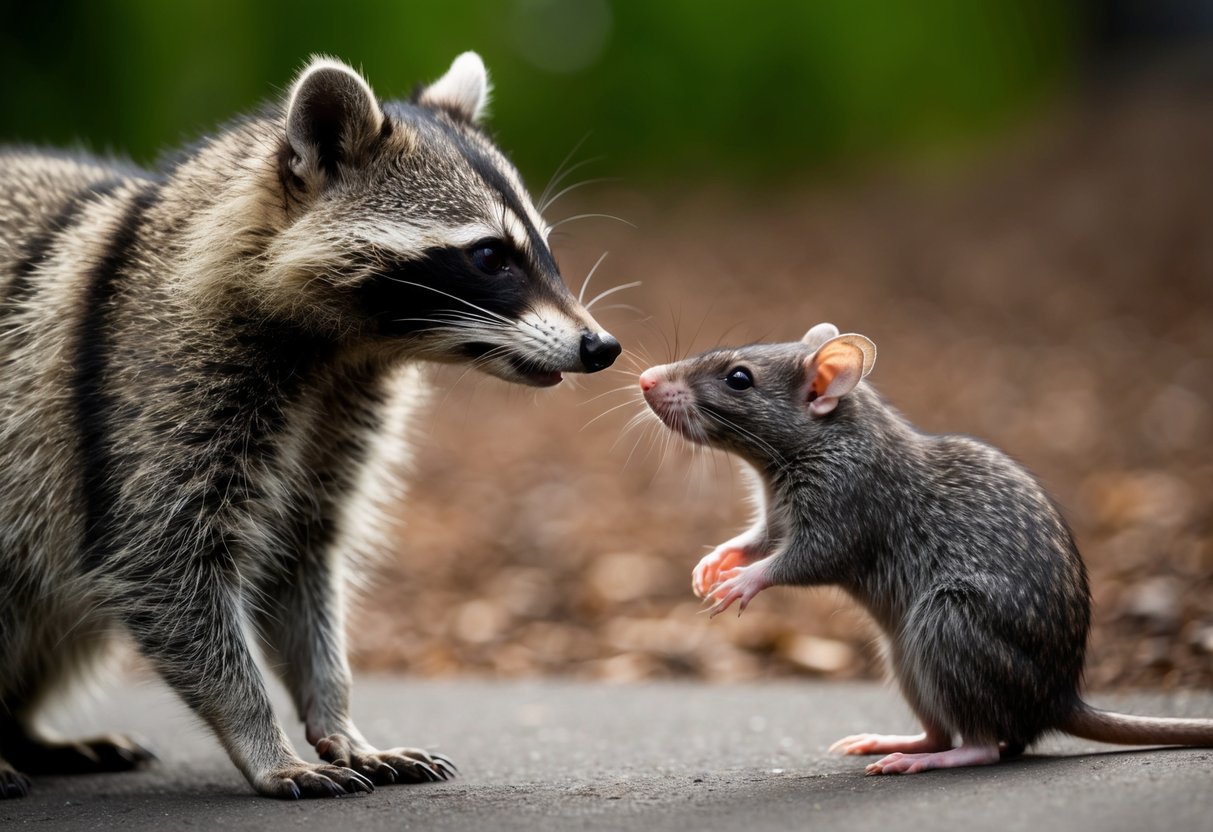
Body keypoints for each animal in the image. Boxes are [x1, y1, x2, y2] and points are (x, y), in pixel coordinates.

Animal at [0, 53, 621, 799]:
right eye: (489, 256)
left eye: (543, 248)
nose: (601, 347)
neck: (341, 351)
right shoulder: (147, 394)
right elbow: (162, 560)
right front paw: (258, 734)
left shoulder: (337, 418)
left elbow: (301, 559)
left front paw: (339, 718)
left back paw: (26, 733)